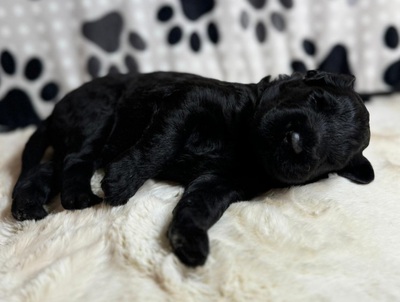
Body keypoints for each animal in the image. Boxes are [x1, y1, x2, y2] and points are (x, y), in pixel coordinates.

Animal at [12, 70, 376, 266]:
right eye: (317, 98)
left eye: (331, 157)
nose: (297, 140)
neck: (248, 144)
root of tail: (53, 112)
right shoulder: (190, 100)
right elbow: (161, 142)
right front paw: (122, 182)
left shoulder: (221, 183)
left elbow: (198, 206)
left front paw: (189, 240)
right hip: (97, 116)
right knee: (73, 160)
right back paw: (78, 196)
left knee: (46, 169)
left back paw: (28, 207)